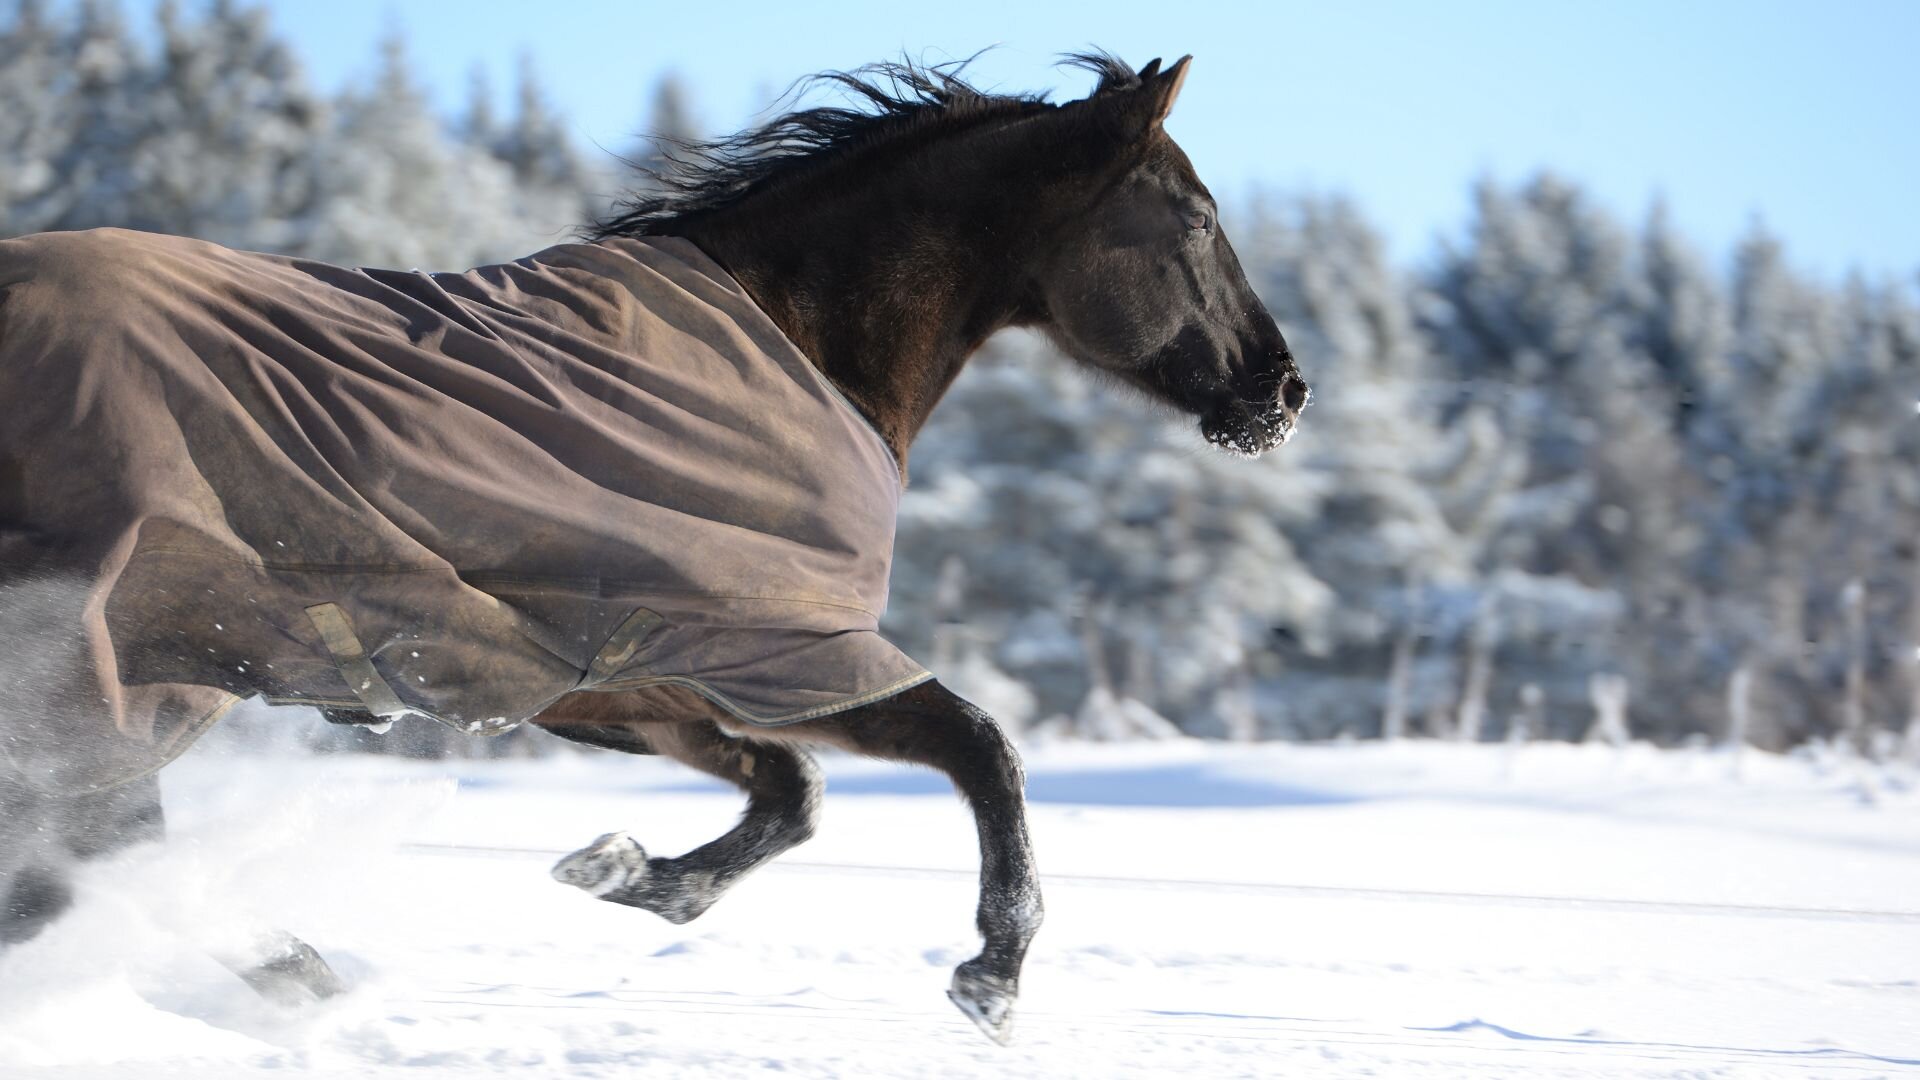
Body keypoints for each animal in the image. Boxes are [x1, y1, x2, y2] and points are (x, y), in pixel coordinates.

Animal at [0, 52, 1306, 1043]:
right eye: (1196, 217)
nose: (1283, 392)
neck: (791, 345)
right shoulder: (785, 648)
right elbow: (983, 749)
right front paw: (994, 975)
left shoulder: (617, 674)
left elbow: (794, 790)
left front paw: (630, 871)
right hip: (129, 660)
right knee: (90, 854)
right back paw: (297, 987)